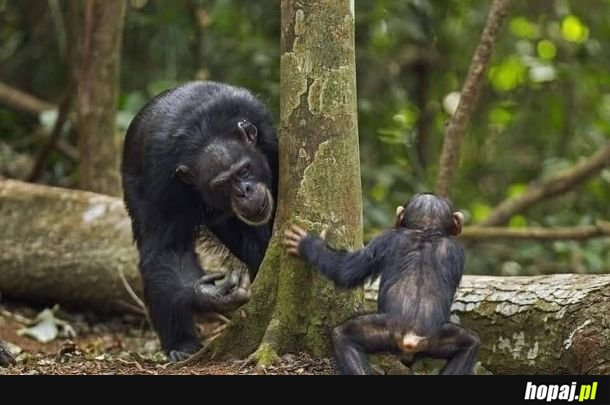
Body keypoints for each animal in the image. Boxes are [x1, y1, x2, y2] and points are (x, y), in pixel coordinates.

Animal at [121, 80, 278, 362]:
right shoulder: (162, 179)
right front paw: (212, 295)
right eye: (221, 184)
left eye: (244, 170)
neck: (204, 132)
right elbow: (168, 249)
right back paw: (181, 345)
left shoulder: (269, 139)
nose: (244, 191)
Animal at [282, 191, 478, 374]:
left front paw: (306, 243)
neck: (426, 230)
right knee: (471, 344)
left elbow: (346, 271)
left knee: (342, 336)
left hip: (387, 331)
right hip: (434, 337)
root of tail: (411, 337)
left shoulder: (384, 239)